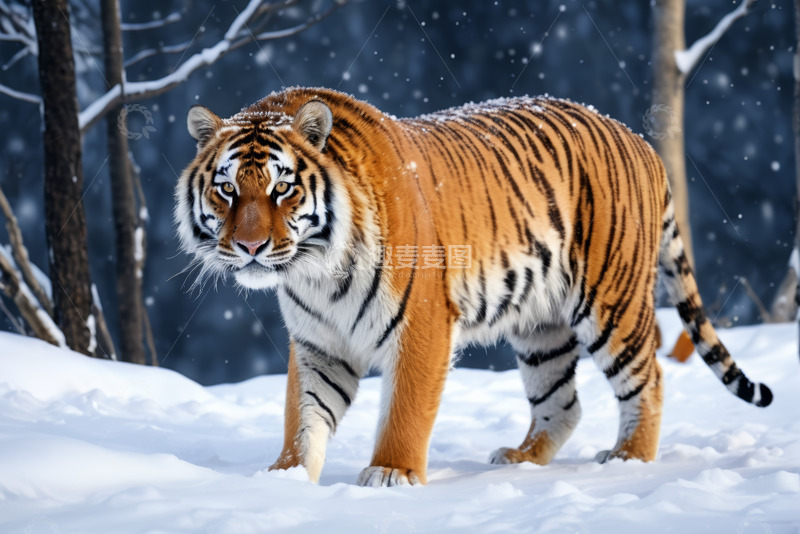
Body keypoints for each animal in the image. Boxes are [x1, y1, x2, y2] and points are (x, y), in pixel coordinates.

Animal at [174, 86, 772, 487]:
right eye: (227, 190)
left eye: (283, 189)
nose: (250, 246)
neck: (315, 272)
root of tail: (639, 140)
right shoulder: (320, 343)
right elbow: (303, 416)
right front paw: (287, 477)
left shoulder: (421, 324)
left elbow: (406, 408)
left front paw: (390, 474)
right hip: (540, 326)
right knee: (563, 402)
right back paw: (522, 458)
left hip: (611, 301)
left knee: (648, 379)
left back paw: (629, 459)